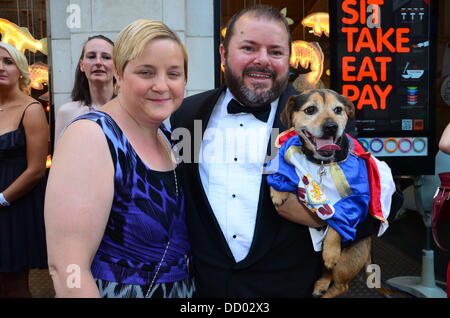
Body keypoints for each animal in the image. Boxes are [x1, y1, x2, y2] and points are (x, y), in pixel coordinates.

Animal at [268, 89, 378, 298]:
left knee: (341, 284)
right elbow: (281, 166)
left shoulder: (356, 200)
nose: (331, 127)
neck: (322, 163)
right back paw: (321, 284)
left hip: (346, 260)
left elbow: (337, 222)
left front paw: (331, 250)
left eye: (338, 110)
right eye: (310, 109)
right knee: (327, 272)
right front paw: (278, 192)